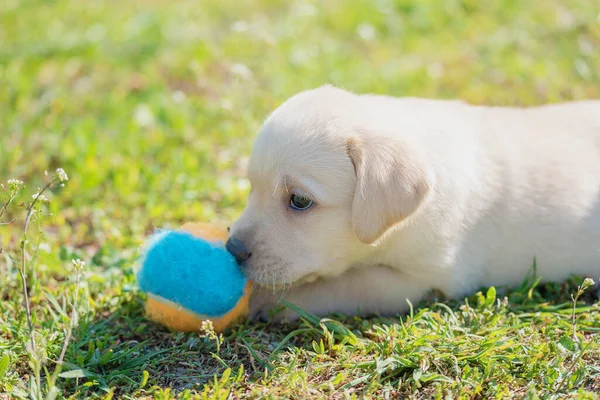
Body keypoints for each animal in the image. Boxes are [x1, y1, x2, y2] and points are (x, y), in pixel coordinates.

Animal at [226, 85, 600, 322]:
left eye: (300, 201)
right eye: (251, 187)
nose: (232, 249)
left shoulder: (420, 280)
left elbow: (346, 284)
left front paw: (266, 299)